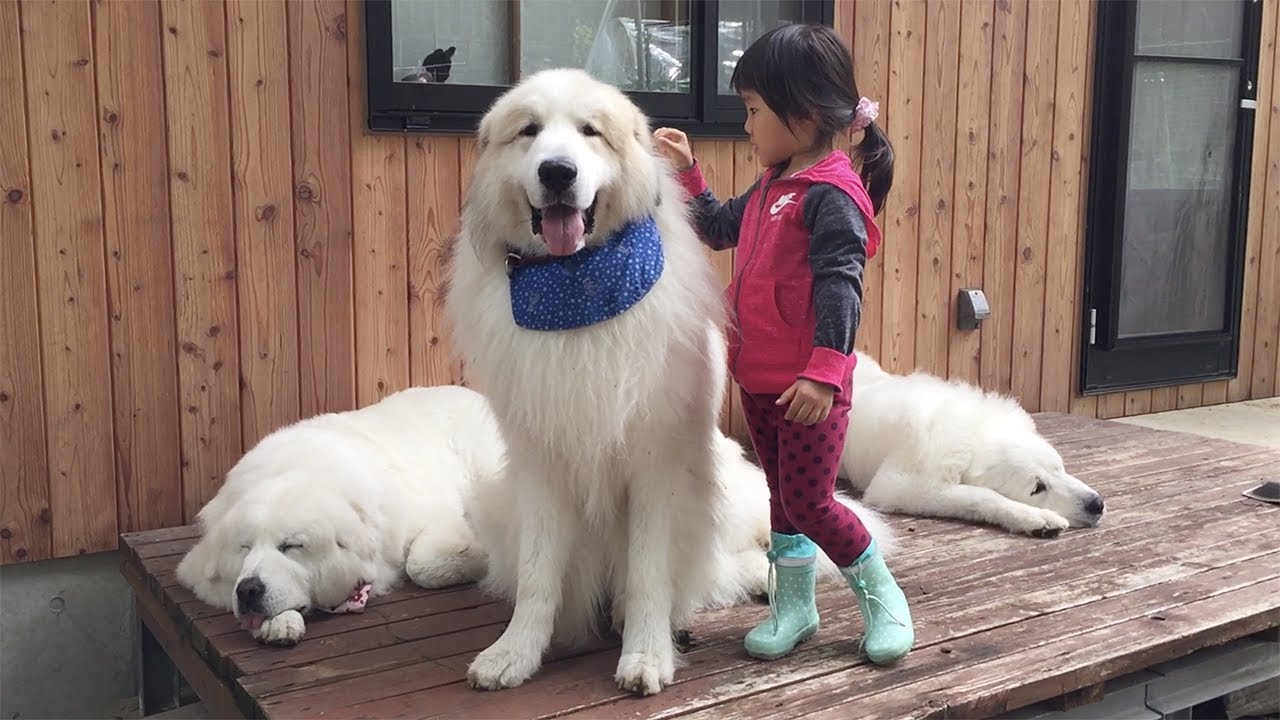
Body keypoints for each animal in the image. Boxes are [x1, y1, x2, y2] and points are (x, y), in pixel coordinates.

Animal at [445, 68, 747, 696]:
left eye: (591, 132)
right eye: (529, 131)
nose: (557, 172)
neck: (577, 284)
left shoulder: (659, 464)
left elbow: (649, 573)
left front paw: (647, 656)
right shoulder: (540, 461)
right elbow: (537, 574)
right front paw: (516, 652)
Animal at [839, 351, 1111, 535]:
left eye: (1060, 468)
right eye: (1037, 488)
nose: (1096, 504)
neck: (973, 433)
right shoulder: (903, 486)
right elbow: (983, 495)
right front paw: (1036, 517)